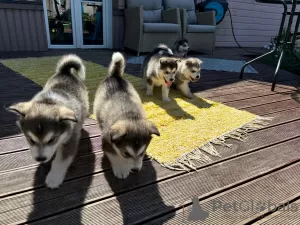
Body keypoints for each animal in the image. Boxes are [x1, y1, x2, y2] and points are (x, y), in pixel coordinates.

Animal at [7, 55, 88, 189]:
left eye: (52, 140)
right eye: (31, 140)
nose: (40, 159)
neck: (49, 102)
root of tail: (65, 71)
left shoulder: (70, 140)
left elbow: (61, 161)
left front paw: (54, 177)